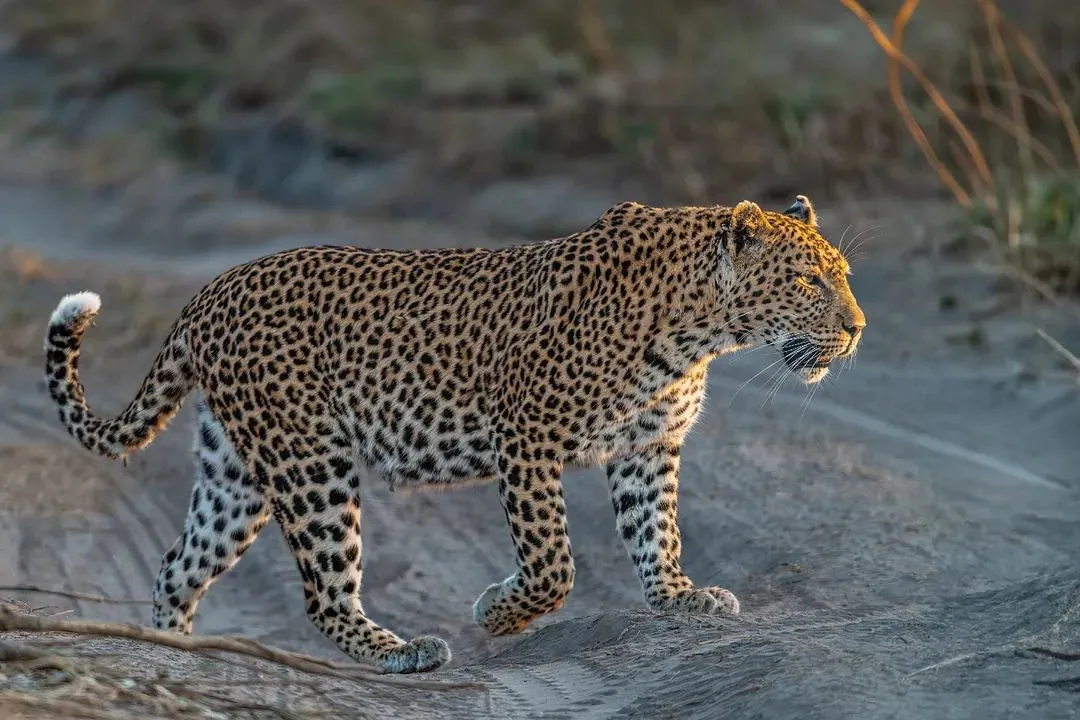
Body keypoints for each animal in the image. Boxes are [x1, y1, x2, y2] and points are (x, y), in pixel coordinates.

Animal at [43, 194, 865, 674]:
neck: (701, 330)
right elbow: (553, 564)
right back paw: (401, 651)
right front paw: (499, 613)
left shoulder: (646, 447)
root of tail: (207, 294)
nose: (858, 328)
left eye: (846, 276)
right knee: (324, 593)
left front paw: (677, 597)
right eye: (807, 281)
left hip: (237, 474)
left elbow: (655, 532)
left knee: (177, 566)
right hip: (311, 462)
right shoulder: (528, 438)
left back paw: (173, 654)